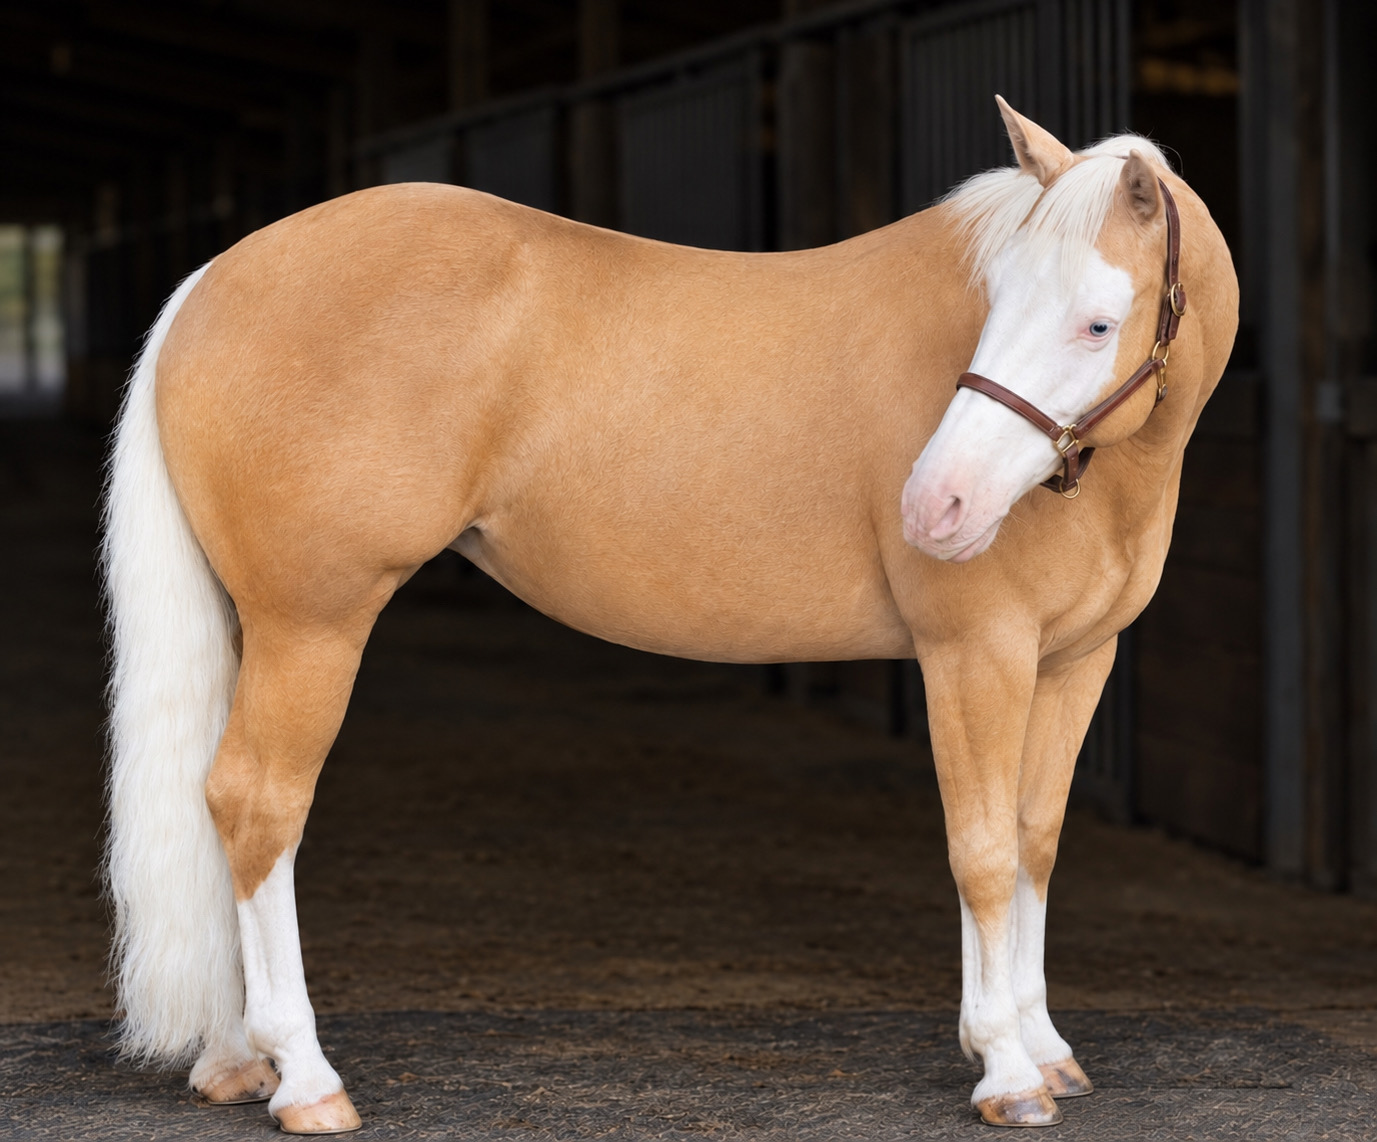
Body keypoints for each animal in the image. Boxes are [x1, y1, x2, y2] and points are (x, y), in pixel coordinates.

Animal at [102, 97, 1237, 1133]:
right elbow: (982, 849)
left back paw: (234, 1060)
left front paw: (1042, 1047)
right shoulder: (974, 652)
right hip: (313, 627)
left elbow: (1034, 838)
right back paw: (304, 1077)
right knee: (259, 805)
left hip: (257, 627)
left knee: (218, 800)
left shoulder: (1073, 659)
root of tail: (215, 277)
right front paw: (1004, 1066)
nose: (937, 507)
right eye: (995, 301)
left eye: (1095, 321)